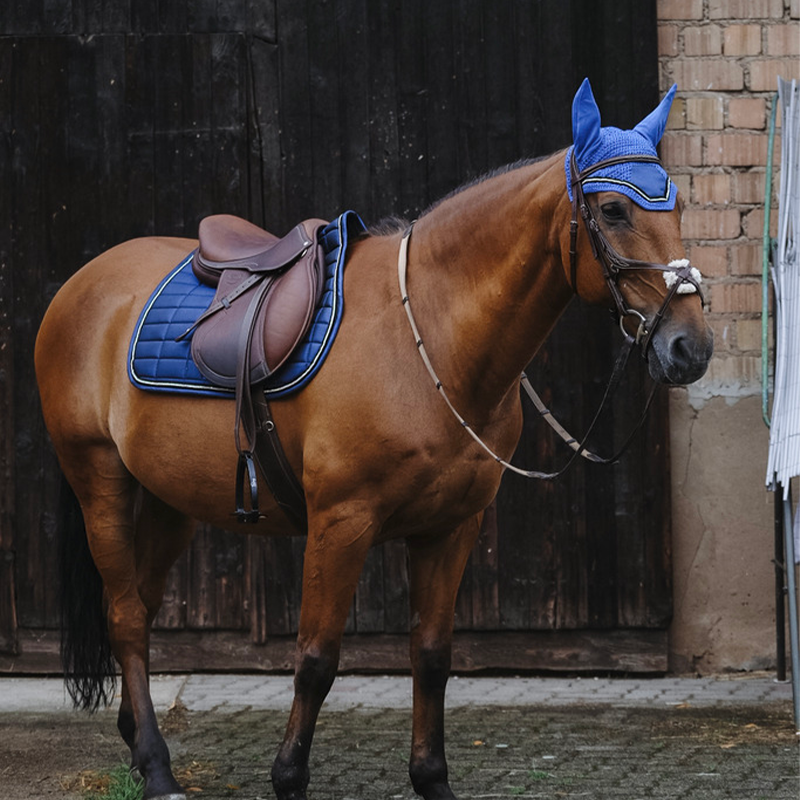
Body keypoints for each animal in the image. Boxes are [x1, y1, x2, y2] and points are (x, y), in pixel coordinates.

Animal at [37, 81, 712, 800]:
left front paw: (431, 778)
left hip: (170, 499)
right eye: (612, 209)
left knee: (139, 605)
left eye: (677, 204)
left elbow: (433, 655)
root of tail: (82, 284)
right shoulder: (342, 522)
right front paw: (288, 778)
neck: (431, 338)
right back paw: (159, 768)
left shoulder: (452, 527)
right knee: (125, 617)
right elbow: (315, 657)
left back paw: (140, 746)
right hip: (99, 480)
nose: (689, 348)